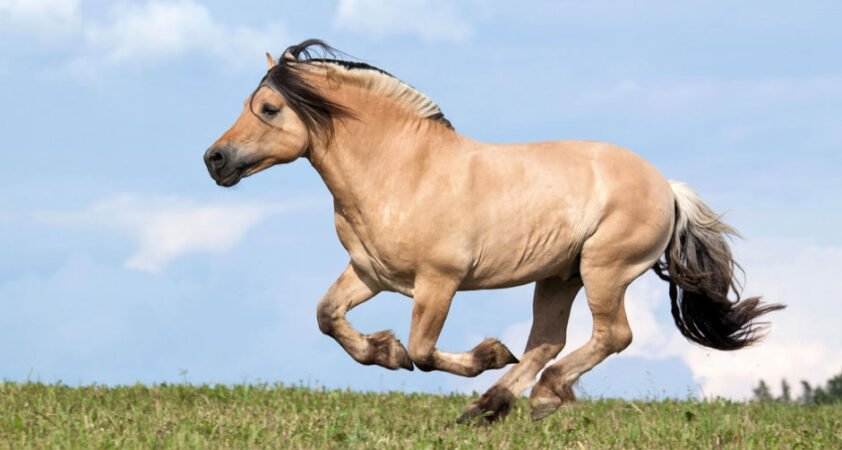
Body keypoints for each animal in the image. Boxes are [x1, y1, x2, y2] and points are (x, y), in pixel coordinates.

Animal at [204, 39, 784, 423]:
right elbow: (328, 317)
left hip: (604, 270)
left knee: (610, 336)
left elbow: (423, 351)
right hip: (560, 276)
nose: (215, 160)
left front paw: (480, 353)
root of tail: (667, 187)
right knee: (547, 341)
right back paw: (490, 405)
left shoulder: (439, 281)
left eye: (269, 108)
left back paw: (539, 396)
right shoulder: (370, 273)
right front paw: (383, 351)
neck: (402, 169)